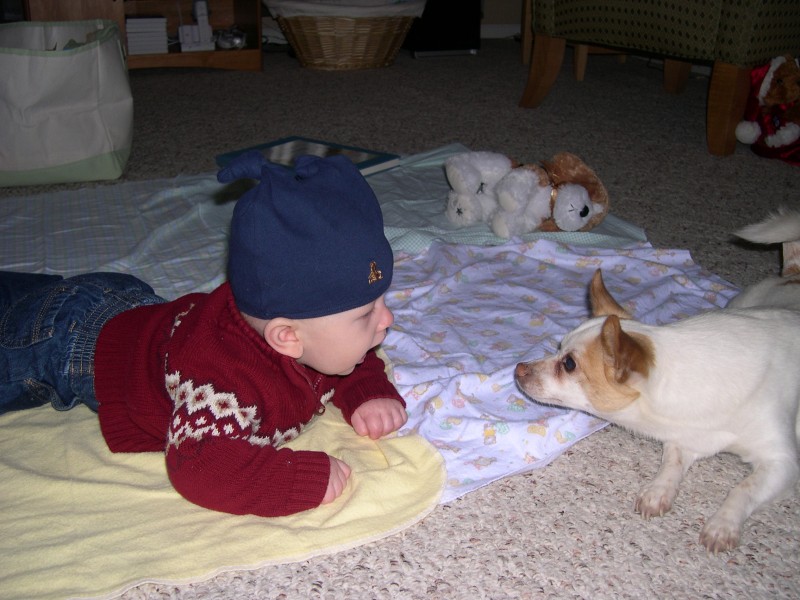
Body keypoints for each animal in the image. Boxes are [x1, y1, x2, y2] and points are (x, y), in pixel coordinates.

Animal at [512, 212, 800, 552]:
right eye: (558, 347)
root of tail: (793, 273)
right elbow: (671, 462)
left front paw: (723, 524)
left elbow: (744, 487)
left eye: (568, 364)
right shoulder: (686, 439)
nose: (518, 368)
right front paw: (659, 491)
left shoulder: (783, 462)